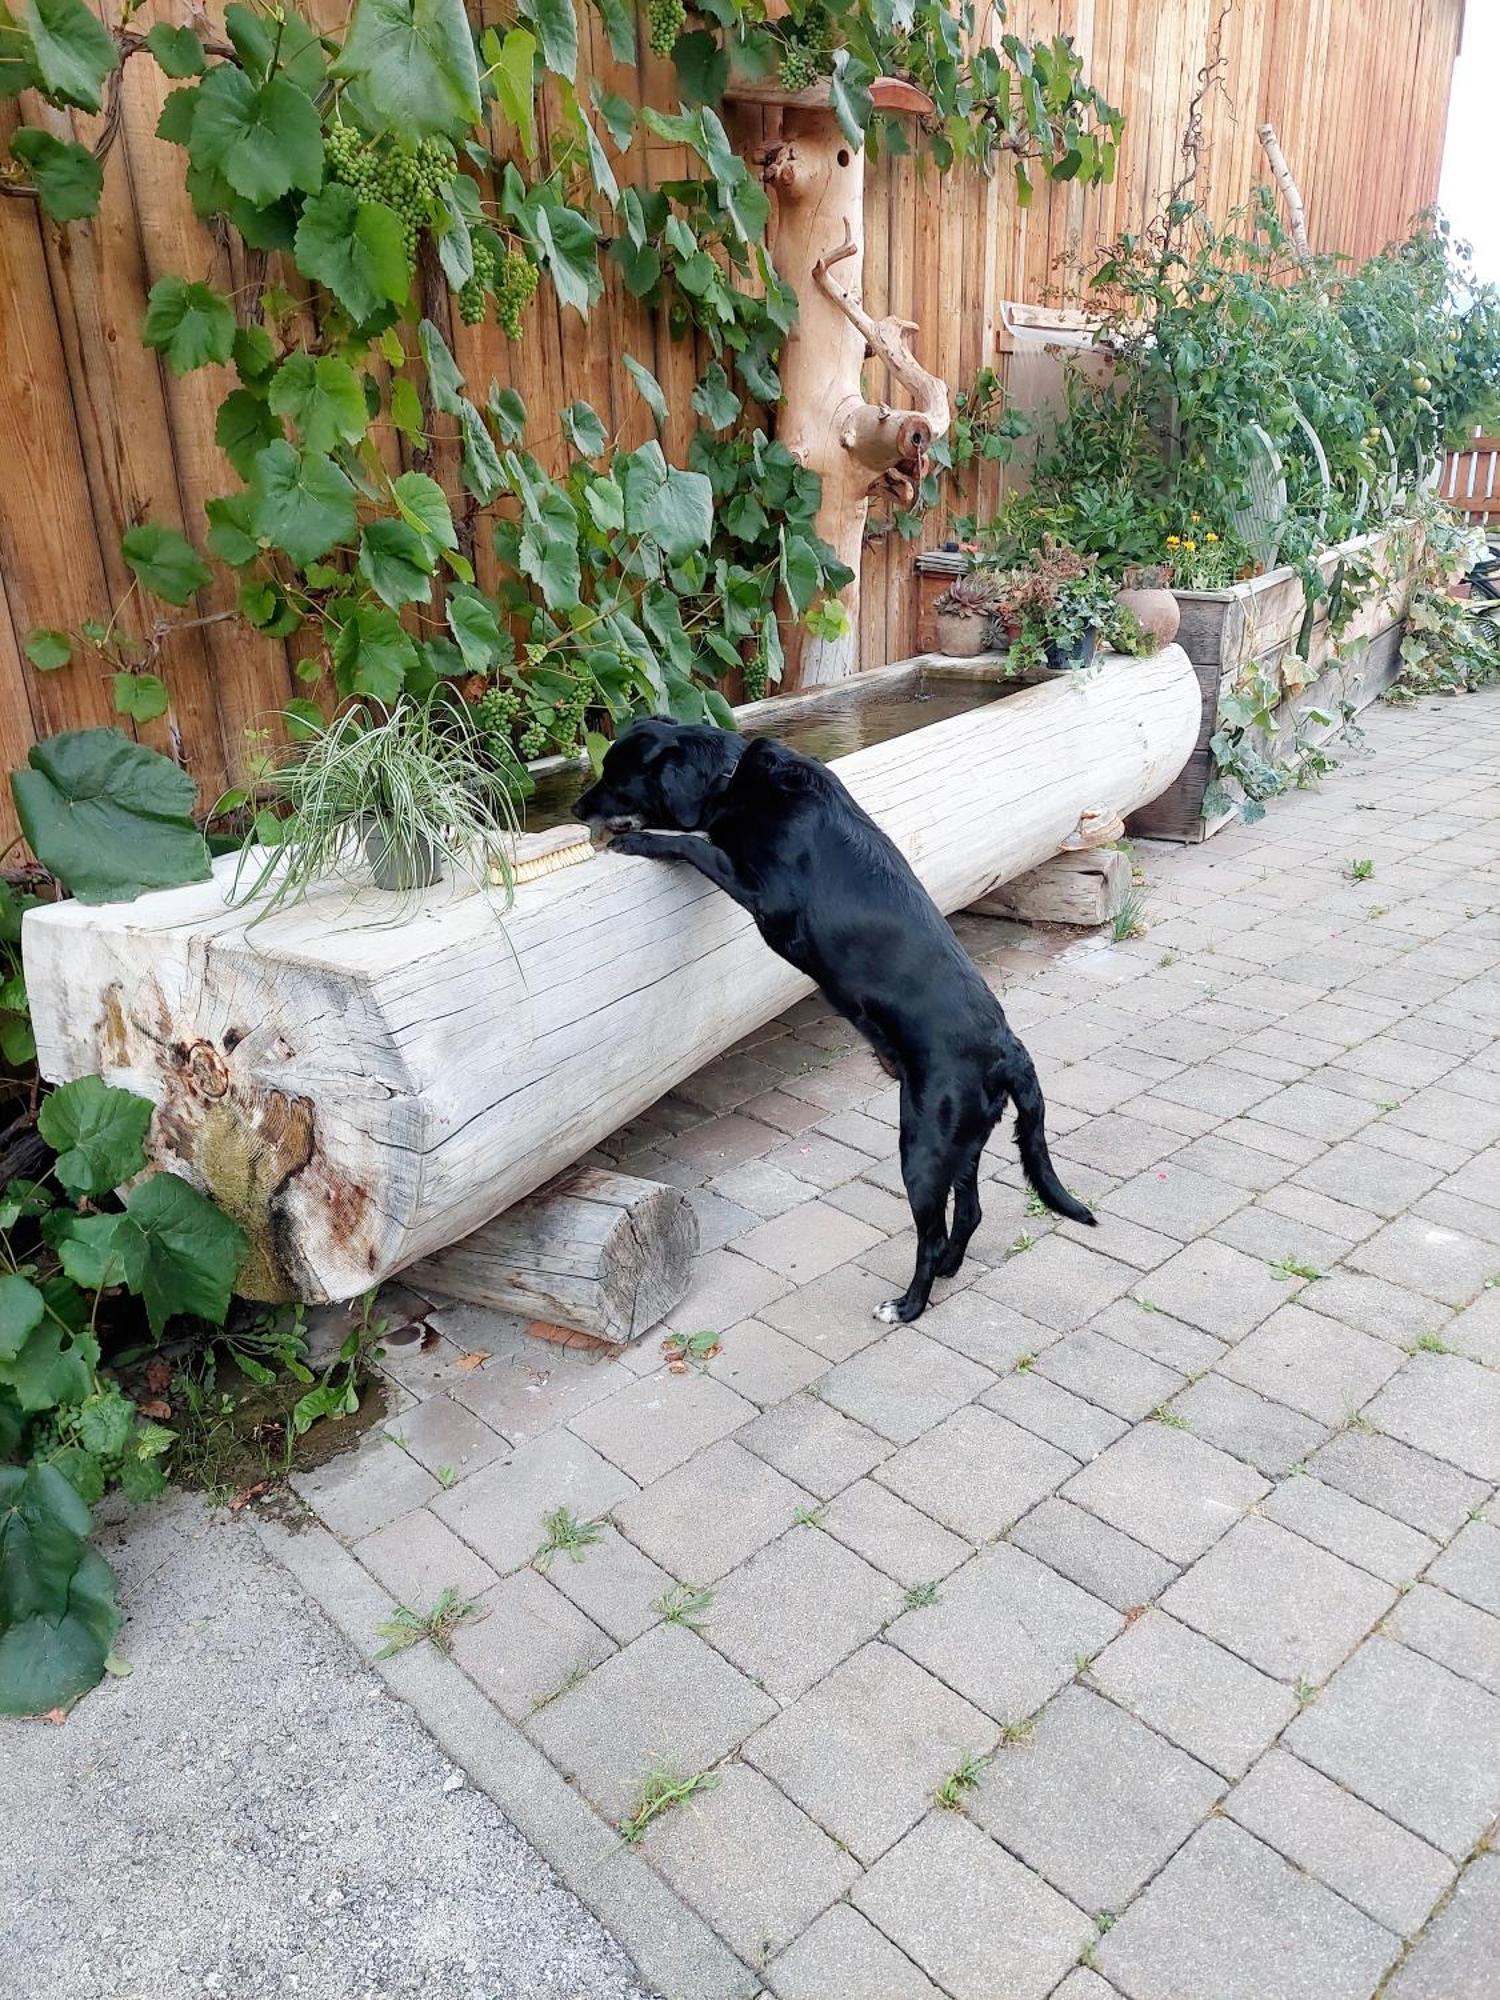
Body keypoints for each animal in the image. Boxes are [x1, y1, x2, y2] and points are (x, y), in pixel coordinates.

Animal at [576, 724, 1096, 1328]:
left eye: (617, 777)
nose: (576, 809)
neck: (738, 777)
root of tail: (1007, 1050)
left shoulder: (768, 900)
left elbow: (697, 844)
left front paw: (641, 842)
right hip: (961, 1144)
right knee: (968, 1214)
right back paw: (947, 1270)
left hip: (923, 1148)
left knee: (931, 1234)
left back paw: (908, 1305)